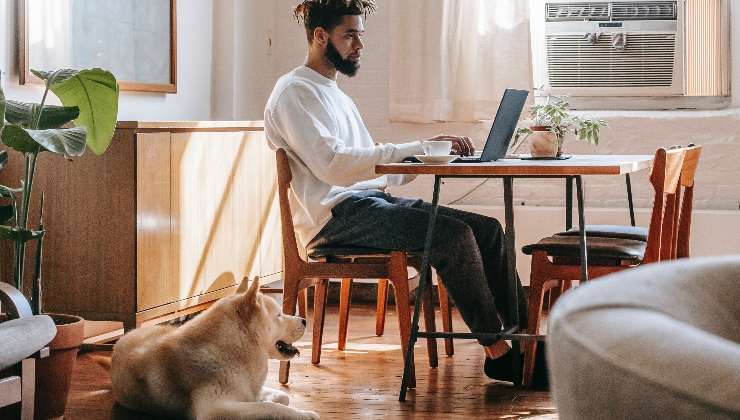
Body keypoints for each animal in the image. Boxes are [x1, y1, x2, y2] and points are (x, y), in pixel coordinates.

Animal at [106, 278, 318, 418]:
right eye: (280, 315)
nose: (304, 320)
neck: (233, 348)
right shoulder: (213, 409)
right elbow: (272, 408)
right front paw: (305, 415)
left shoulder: (247, 390)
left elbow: (281, 397)